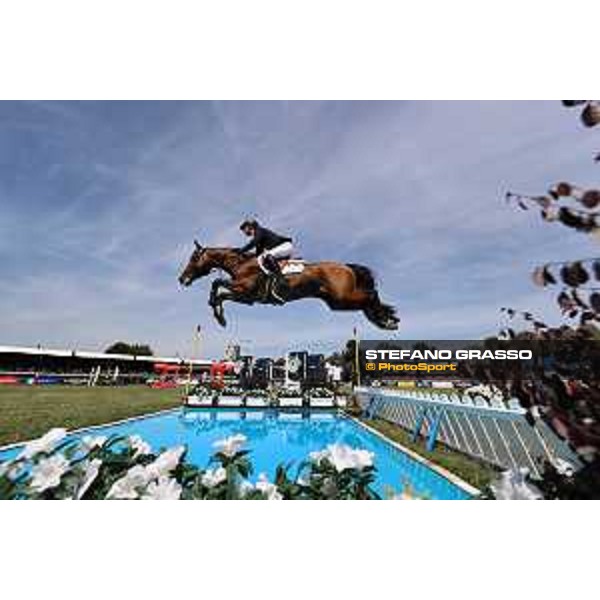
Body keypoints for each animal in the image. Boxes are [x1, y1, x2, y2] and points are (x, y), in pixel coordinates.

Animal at [180, 241, 400, 330]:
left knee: (371, 295)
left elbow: (217, 283)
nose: (182, 279)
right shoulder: (247, 298)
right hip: (337, 303)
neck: (241, 264)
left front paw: (219, 316)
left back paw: (387, 321)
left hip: (342, 297)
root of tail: (346, 266)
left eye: (193, 258)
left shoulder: (245, 291)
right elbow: (221, 293)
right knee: (367, 301)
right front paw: (220, 316)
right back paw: (385, 319)